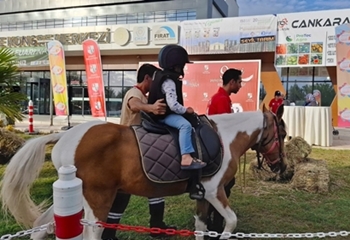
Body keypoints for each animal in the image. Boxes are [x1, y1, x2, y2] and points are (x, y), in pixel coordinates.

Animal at [0, 104, 286, 239]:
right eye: (282, 133)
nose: (283, 169)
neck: (224, 137)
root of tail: (65, 136)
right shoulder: (215, 191)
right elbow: (231, 221)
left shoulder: (203, 195)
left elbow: (201, 227)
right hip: (98, 199)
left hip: (73, 197)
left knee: (41, 226)